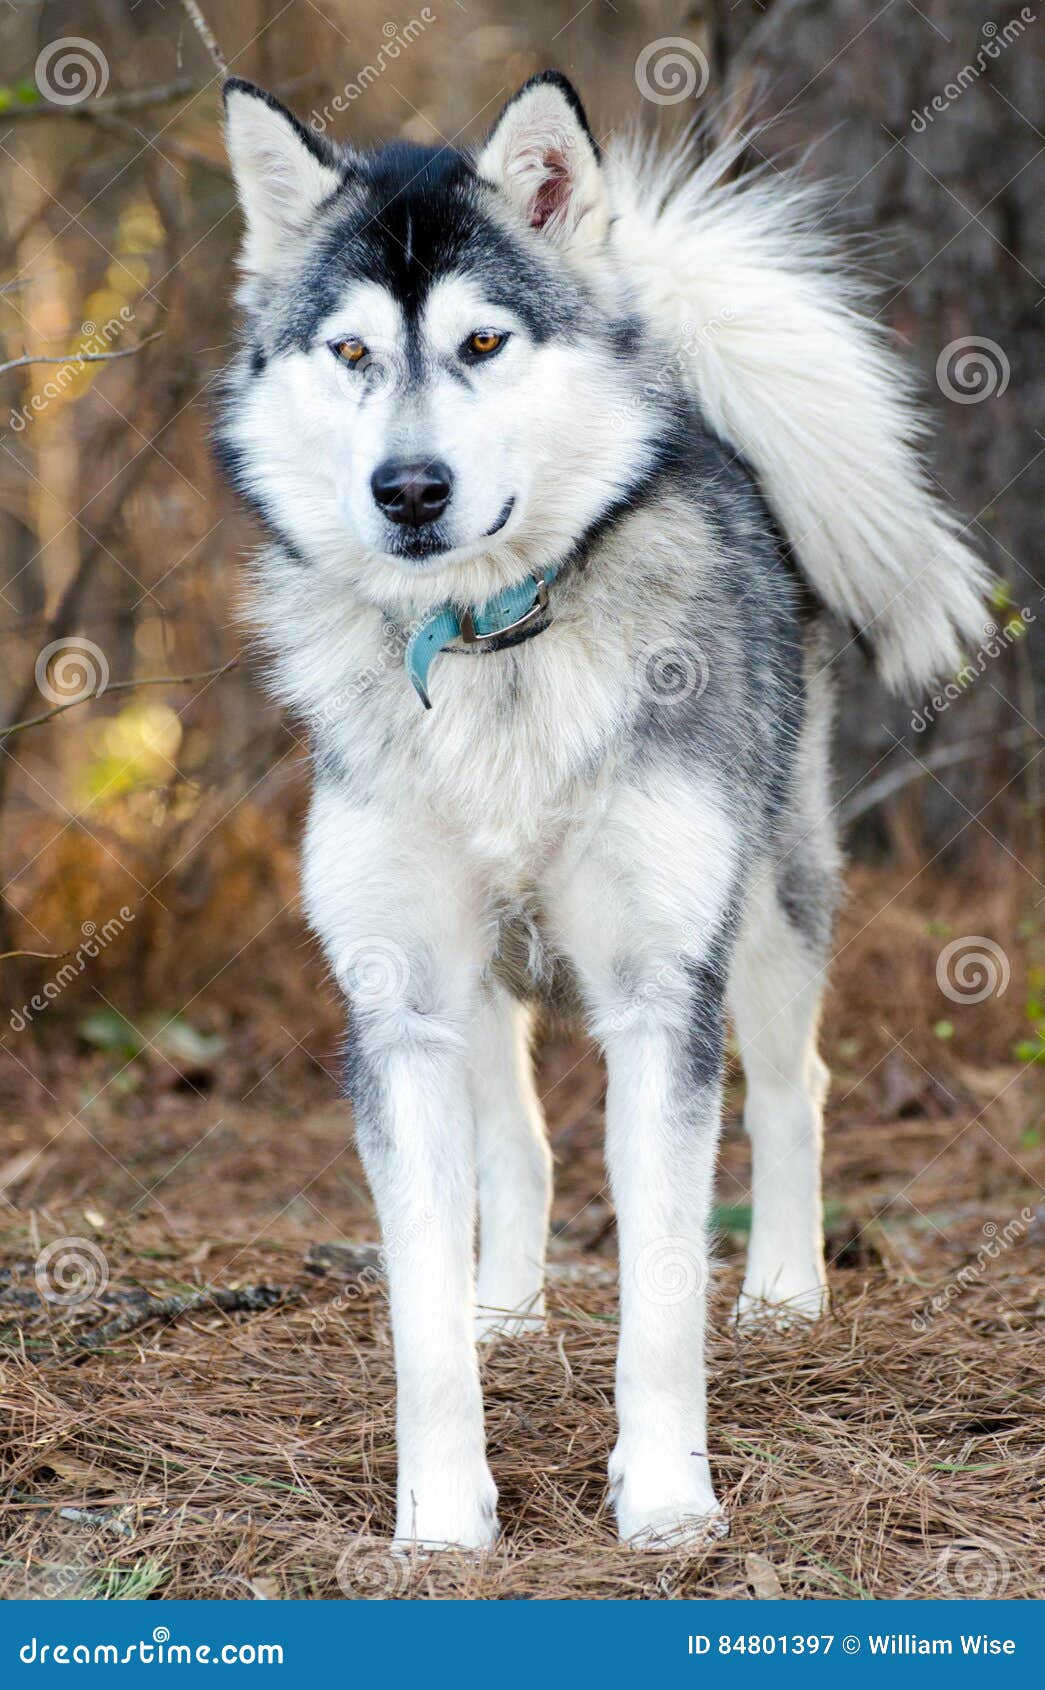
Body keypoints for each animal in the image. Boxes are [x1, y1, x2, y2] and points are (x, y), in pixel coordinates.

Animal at [213, 72, 987, 1548]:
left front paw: (669, 1494)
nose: (409, 490)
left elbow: (663, 1291)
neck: (487, 650)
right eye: (349, 353)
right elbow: (418, 1308)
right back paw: (507, 1305)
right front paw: (442, 1512)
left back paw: (784, 1293)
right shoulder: (400, 1001)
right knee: (515, 1145)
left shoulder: (658, 988)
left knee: (792, 1086)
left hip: (768, 902)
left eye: (483, 341)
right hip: (483, 983)